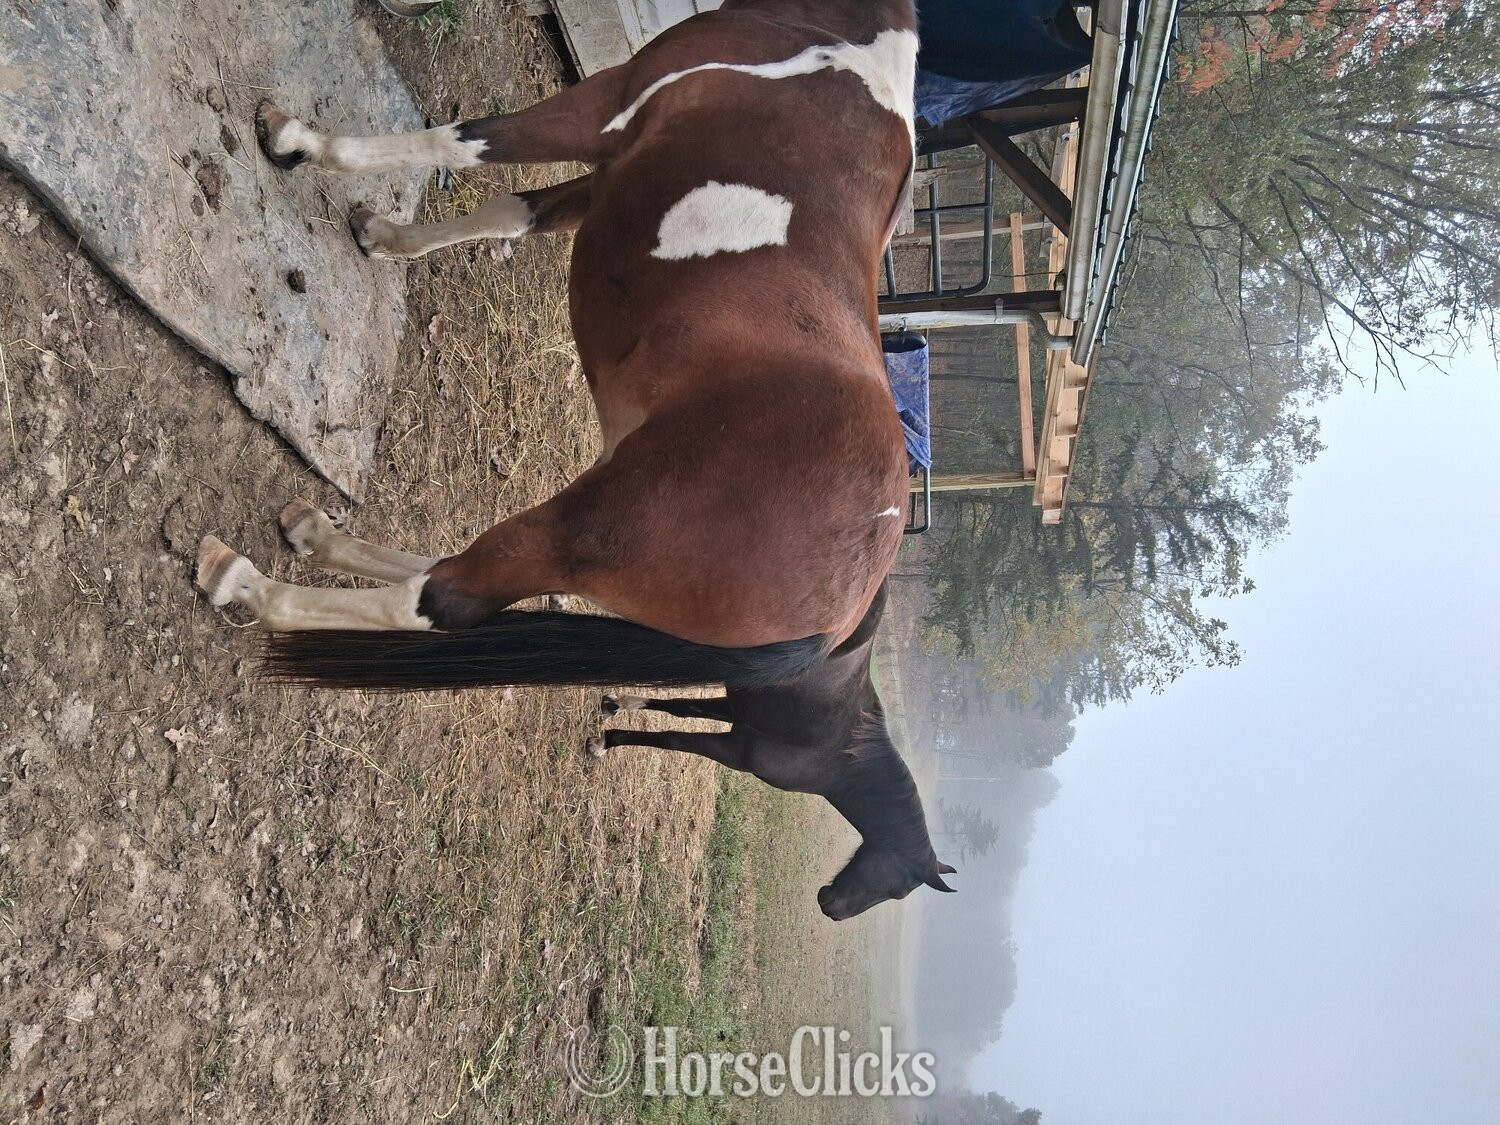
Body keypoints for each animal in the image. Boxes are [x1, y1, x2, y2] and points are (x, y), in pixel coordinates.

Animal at [594, 583, 956, 919]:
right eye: (897, 892)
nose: (833, 911)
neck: (842, 759)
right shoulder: (738, 752)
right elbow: (672, 739)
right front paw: (606, 741)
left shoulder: (739, 718)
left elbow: (682, 709)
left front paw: (618, 705)